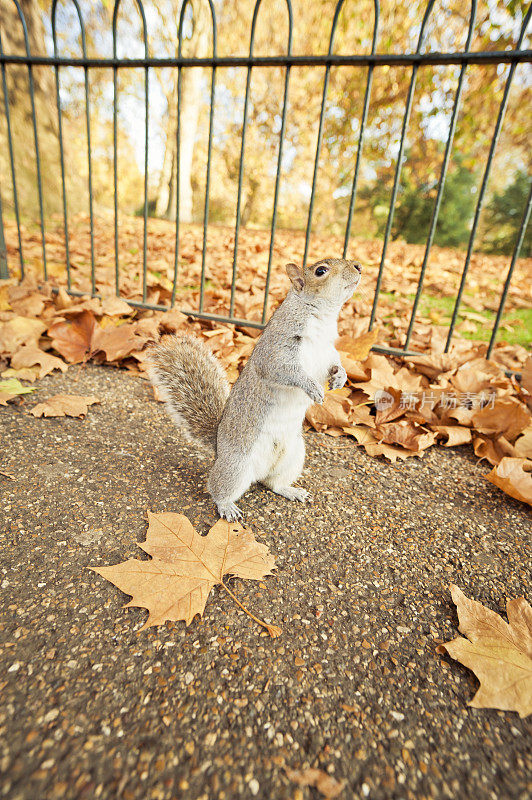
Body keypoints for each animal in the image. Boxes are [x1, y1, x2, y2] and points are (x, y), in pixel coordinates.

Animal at [152, 255, 364, 520]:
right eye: (320, 271)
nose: (359, 266)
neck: (320, 320)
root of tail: (218, 449)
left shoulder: (327, 353)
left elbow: (335, 365)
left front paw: (340, 378)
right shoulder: (276, 349)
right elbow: (284, 371)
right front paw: (312, 387)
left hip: (294, 457)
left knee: (272, 483)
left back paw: (290, 490)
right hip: (235, 467)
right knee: (217, 488)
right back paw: (227, 507)